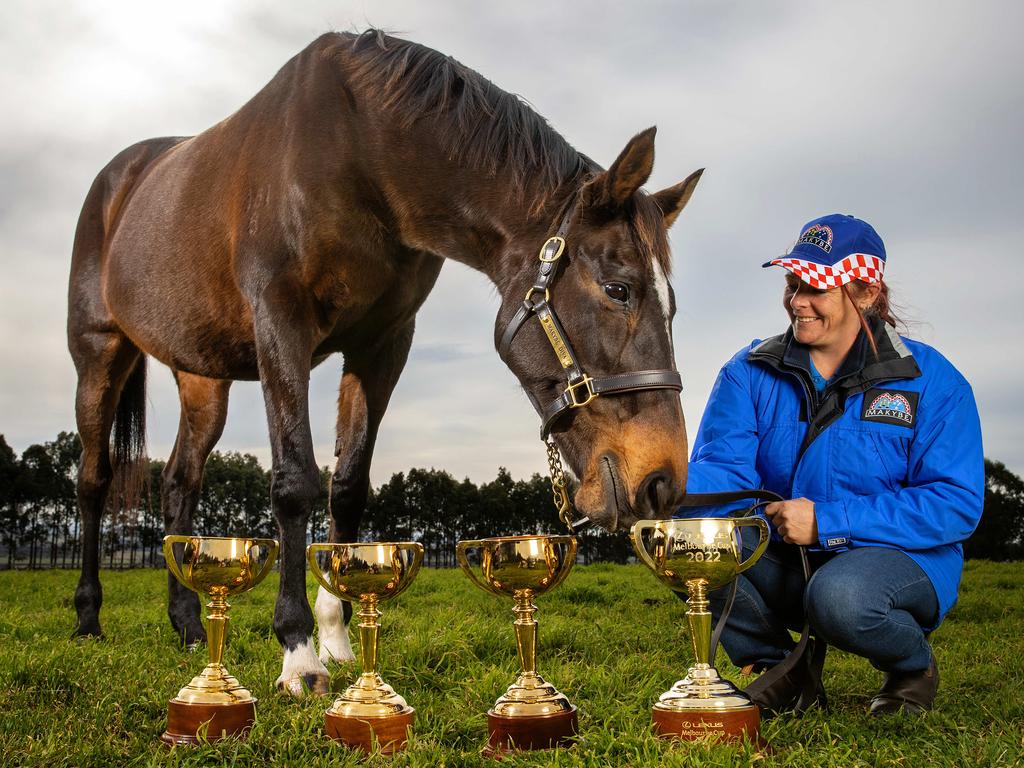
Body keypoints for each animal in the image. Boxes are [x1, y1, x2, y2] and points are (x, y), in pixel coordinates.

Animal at [66, 30, 704, 696]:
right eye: (619, 289)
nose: (662, 483)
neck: (358, 154)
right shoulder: (281, 325)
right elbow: (295, 482)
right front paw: (298, 652)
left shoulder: (382, 342)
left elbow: (347, 487)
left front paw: (339, 638)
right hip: (98, 354)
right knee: (93, 480)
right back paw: (88, 618)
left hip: (202, 377)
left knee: (178, 484)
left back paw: (190, 625)